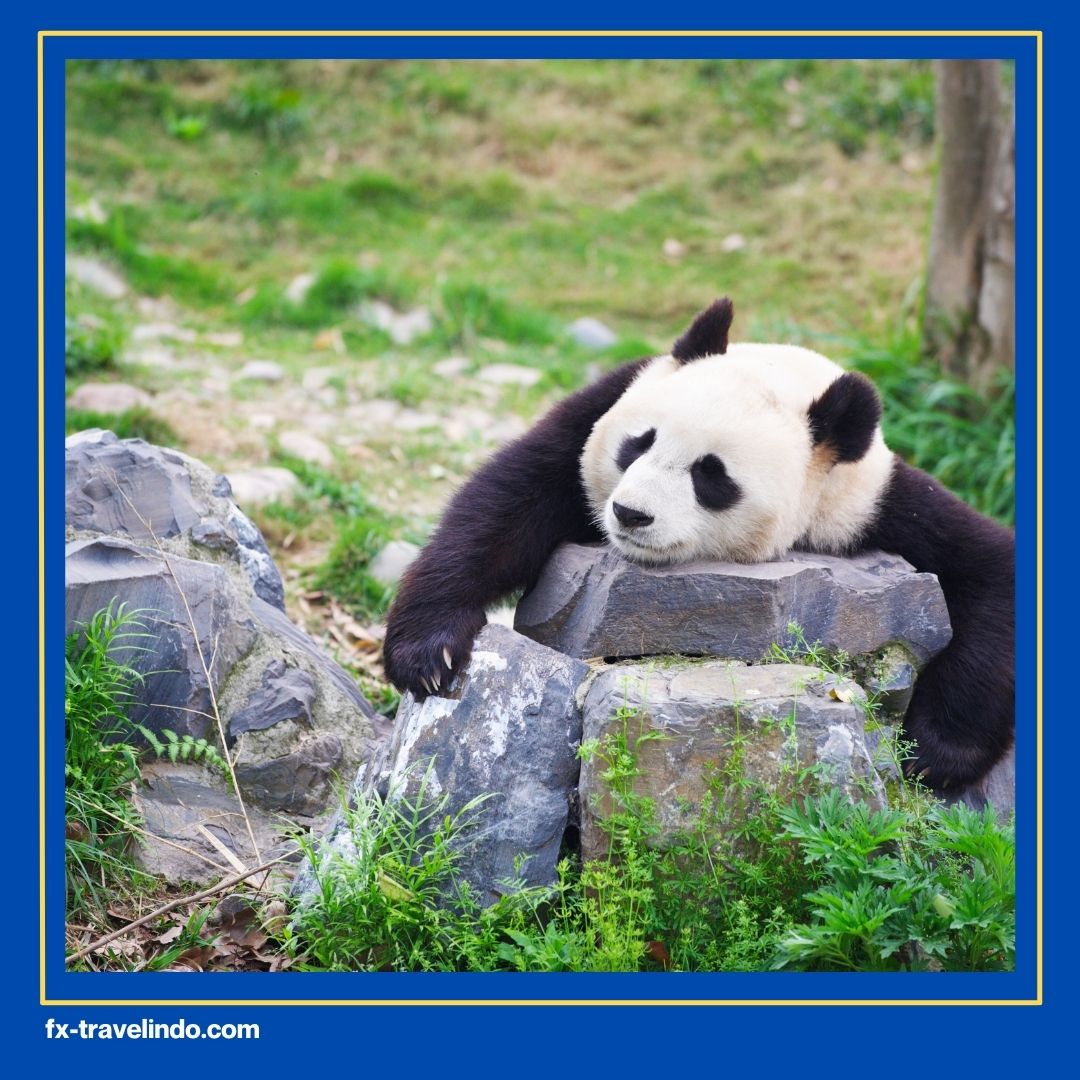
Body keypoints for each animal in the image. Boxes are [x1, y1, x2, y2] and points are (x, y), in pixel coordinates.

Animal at [383, 298, 1014, 792]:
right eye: (639, 443)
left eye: (711, 475)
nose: (630, 514)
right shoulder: (600, 408)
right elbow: (504, 505)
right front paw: (428, 654)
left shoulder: (875, 504)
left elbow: (993, 573)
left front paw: (935, 754)